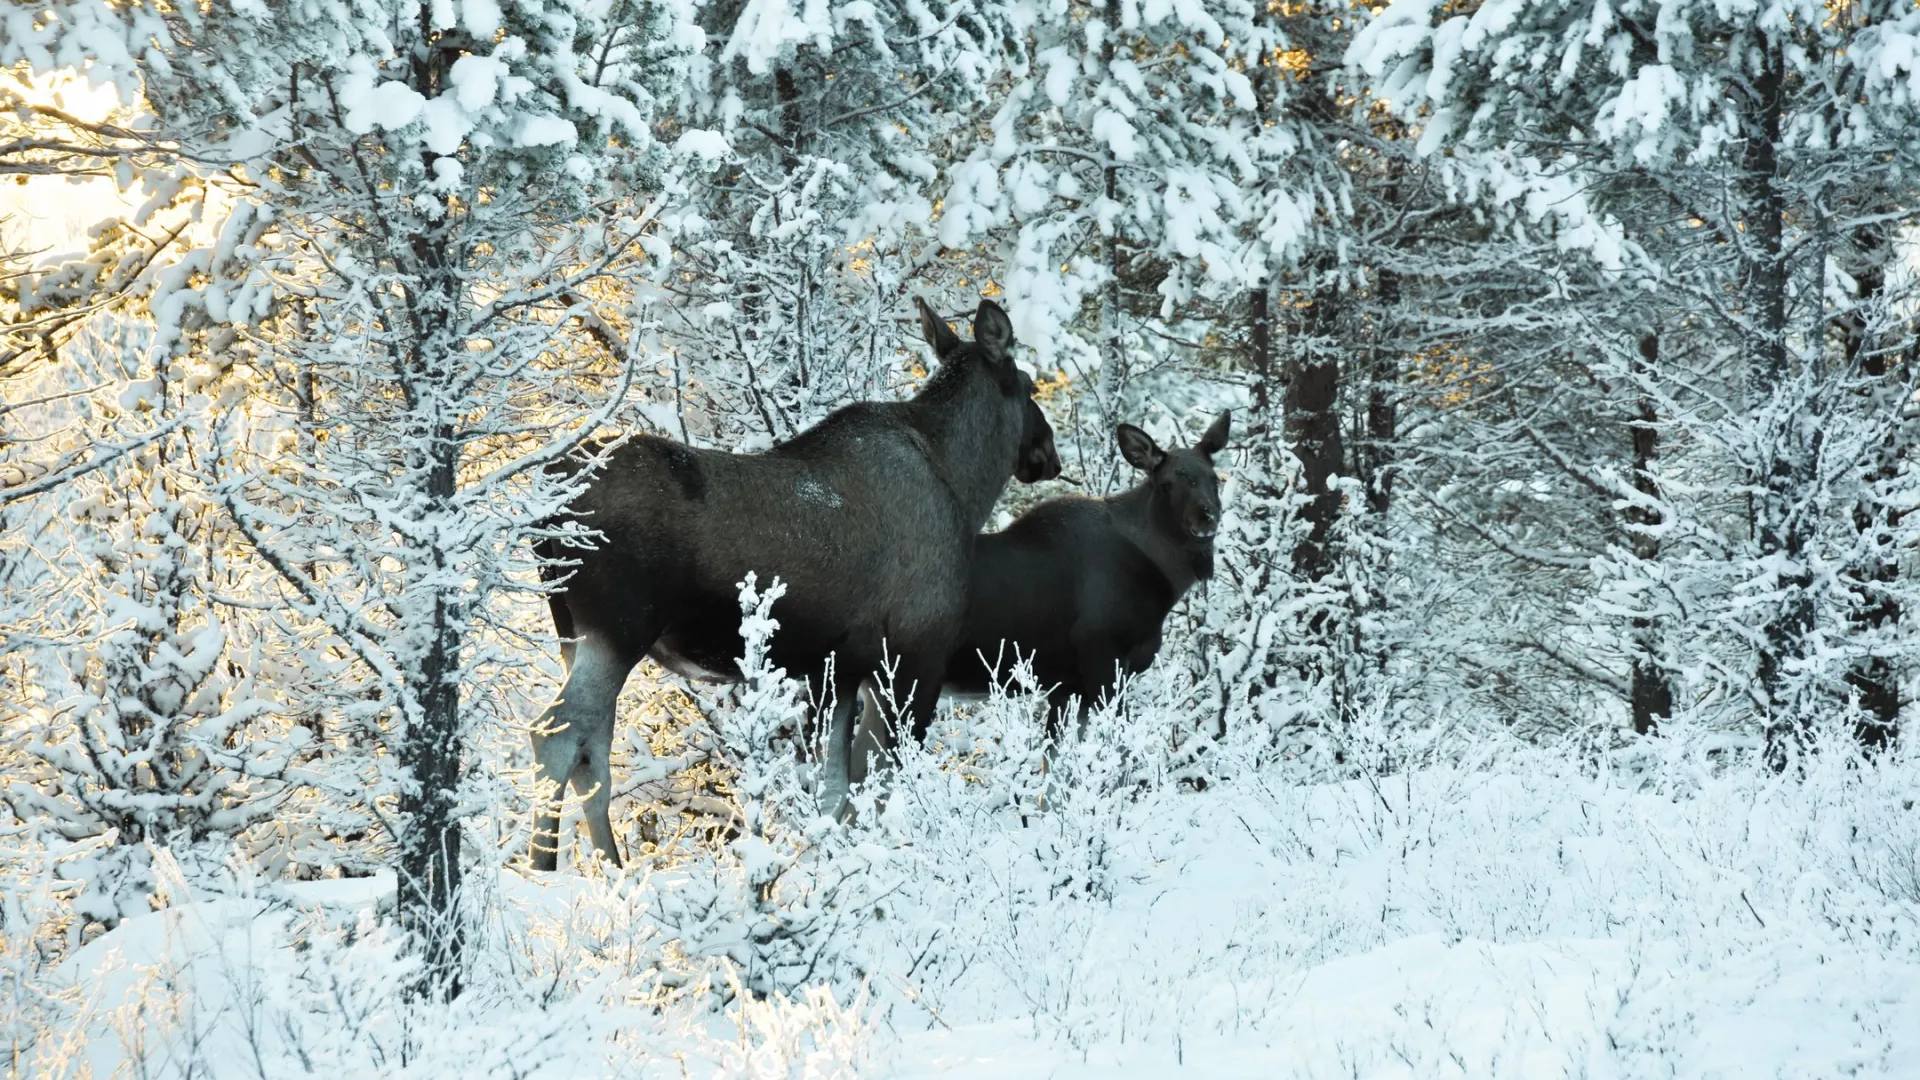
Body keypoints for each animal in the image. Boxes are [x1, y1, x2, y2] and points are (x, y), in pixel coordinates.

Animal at [529, 294, 1067, 864]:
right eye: (1030, 386)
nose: (1049, 453)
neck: (966, 487)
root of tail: (546, 500)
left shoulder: (844, 670)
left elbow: (836, 788)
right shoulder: (916, 657)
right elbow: (875, 784)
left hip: (575, 633)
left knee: (592, 752)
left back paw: (610, 868)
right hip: (618, 629)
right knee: (555, 736)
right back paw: (543, 868)